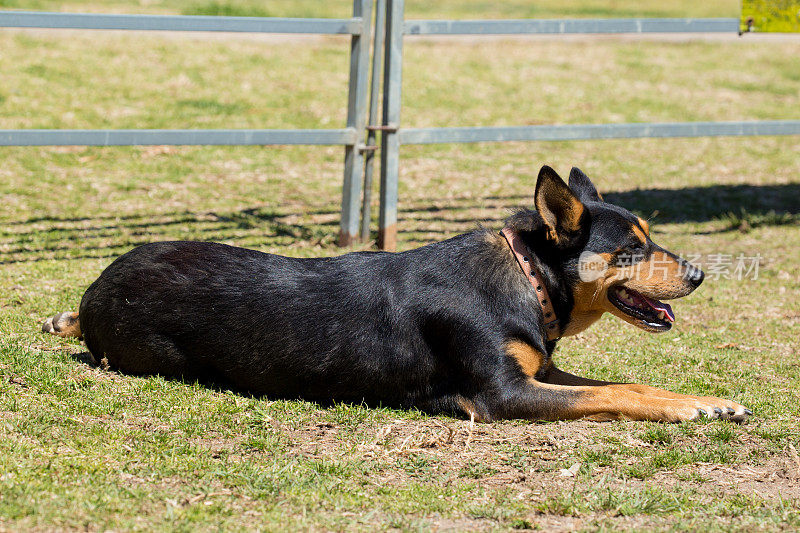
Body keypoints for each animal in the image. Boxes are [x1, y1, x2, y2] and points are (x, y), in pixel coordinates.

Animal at [40, 166, 752, 424]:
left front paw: (706, 400)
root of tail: (96, 286)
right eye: (630, 248)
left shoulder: (539, 372)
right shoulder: (501, 396)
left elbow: (627, 384)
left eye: (649, 238)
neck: (526, 277)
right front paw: (693, 409)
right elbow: (618, 394)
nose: (699, 275)